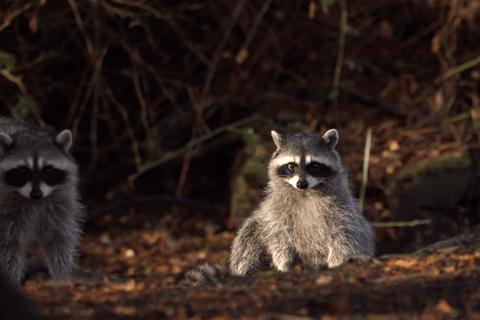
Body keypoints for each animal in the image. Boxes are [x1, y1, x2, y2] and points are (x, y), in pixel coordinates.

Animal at [0, 119, 83, 284]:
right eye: (23, 171)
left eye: (48, 171)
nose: (36, 193)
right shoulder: (5, 210)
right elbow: (8, 246)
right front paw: (11, 281)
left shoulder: (60, 202)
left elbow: (59, 240)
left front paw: (63, 277)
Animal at [180, 129, 376, 284]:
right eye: (291, 166)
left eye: (314, 165)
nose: (301, 183)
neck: (306, 193)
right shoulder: (275, 209)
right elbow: (277, 234)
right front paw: (282, 261)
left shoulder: (341, 207)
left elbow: (346, 235)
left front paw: (337, 262)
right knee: (250, 233)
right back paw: (248, 271)